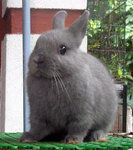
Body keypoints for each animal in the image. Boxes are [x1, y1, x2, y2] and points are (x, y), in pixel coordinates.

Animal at [19, 9, 117, 144]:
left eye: (63, 49)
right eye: (37, 45)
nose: (38, 60)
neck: (53, 79)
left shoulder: (82, 112)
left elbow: (78, 127)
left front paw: (72, 140)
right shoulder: (38, 114)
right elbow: (37, 127)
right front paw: (28, 138)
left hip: (108, 114)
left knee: (103, 127)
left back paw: (97, 136)